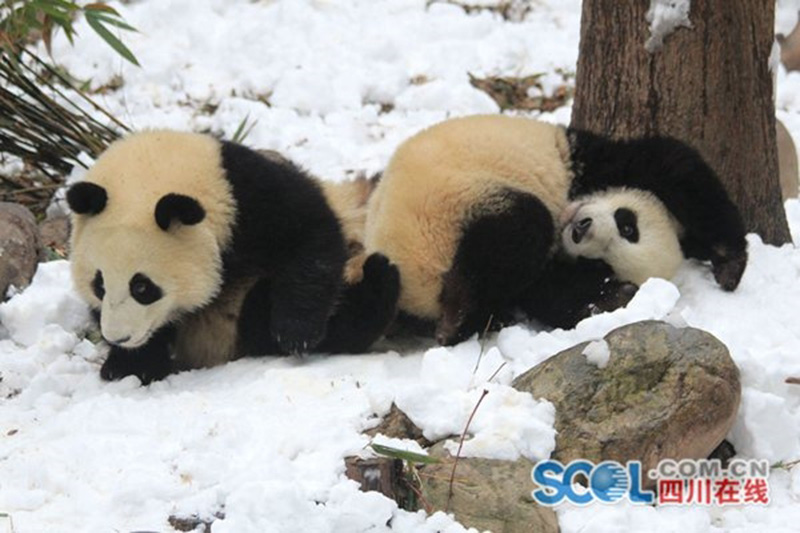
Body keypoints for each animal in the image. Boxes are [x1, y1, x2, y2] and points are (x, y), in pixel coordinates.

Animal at [67, 131, 398, 384]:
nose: (118, 337)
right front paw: (130, 365)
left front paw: (296, 332)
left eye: (142, 287)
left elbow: (311, 237)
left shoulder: (247, 193)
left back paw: (379, 279)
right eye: (99, 284)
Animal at [362, 114, 752, 342]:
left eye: (600, 264)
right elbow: (676, 166)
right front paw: (729, 262)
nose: (581, 230)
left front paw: (614, 298)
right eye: (628, 225)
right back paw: (457, 316)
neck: (571, 199)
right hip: (449, 203)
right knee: (524, 228)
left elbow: (550, 293)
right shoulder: (595, 161)